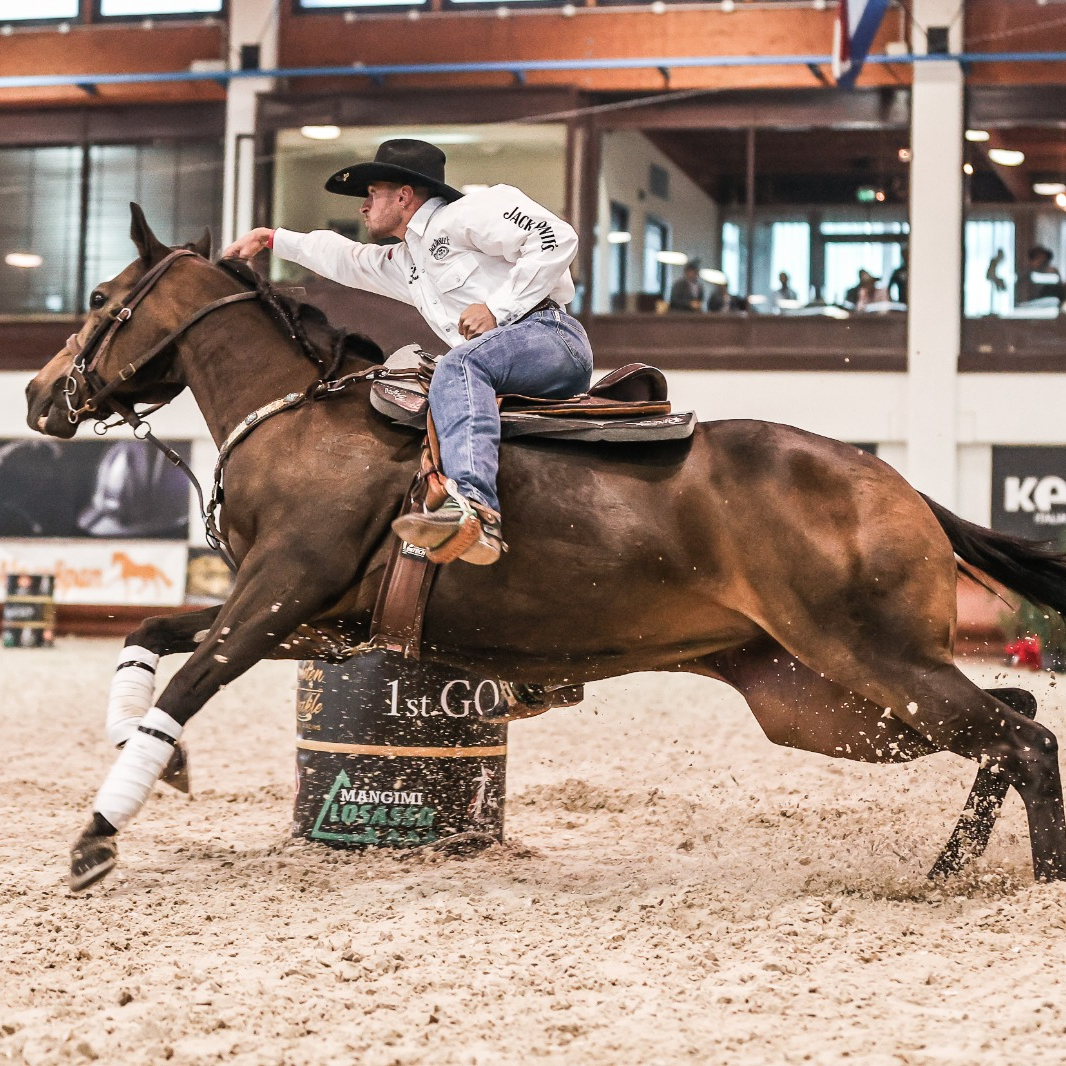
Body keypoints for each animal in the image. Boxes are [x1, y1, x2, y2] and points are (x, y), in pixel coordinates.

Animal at [25, 201, 1066, 891]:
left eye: (102, 294)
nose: (39, 396)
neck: (300, 424)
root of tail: (897, 486)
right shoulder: (317, 621)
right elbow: (151, 635)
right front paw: (152, 758)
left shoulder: (274, 596)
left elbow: (186, 685)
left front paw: (96, 837)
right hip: (824, 699)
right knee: (1008, 719)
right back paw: (946, 873)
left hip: (868, 662)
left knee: (1026, 735)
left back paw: (1036, 881)